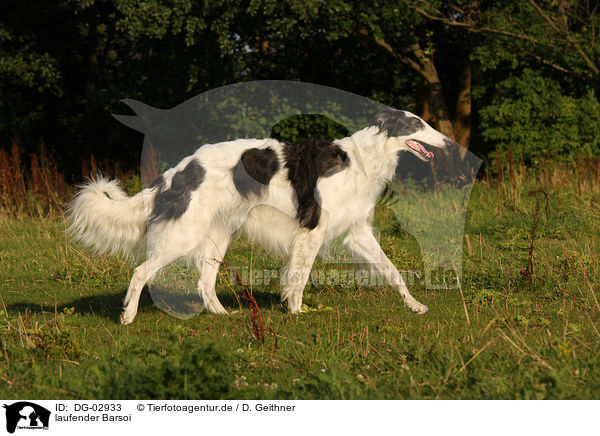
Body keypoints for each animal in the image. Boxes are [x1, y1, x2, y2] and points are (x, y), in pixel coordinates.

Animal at [67, 107, 454, 326]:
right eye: (417, 124)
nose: (449, 144)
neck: (360, 160)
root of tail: (177, 172)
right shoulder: (312, 231)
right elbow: (298, 278)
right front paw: (296, 313)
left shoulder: (358, 232)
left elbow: (393, 271)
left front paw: (415, 306)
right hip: (183, 236)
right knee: (139, 273)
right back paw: (127, 317)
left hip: (217, 236)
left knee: (204, 283)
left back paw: (223, 315)